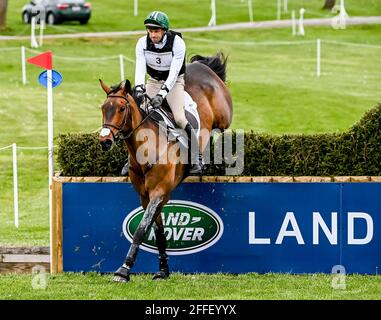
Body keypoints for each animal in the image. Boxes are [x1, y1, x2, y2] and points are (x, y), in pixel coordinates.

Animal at [98, 53, 232, 282]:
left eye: (122, 108)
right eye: (103, 109)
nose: (105, 141)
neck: (145, 149)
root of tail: (202, 66)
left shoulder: (159, 192)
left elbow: (142, 229)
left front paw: (124, 269)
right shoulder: (147, 196)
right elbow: (158, 231)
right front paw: (163, 270)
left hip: (224, 117)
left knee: (218, 128)